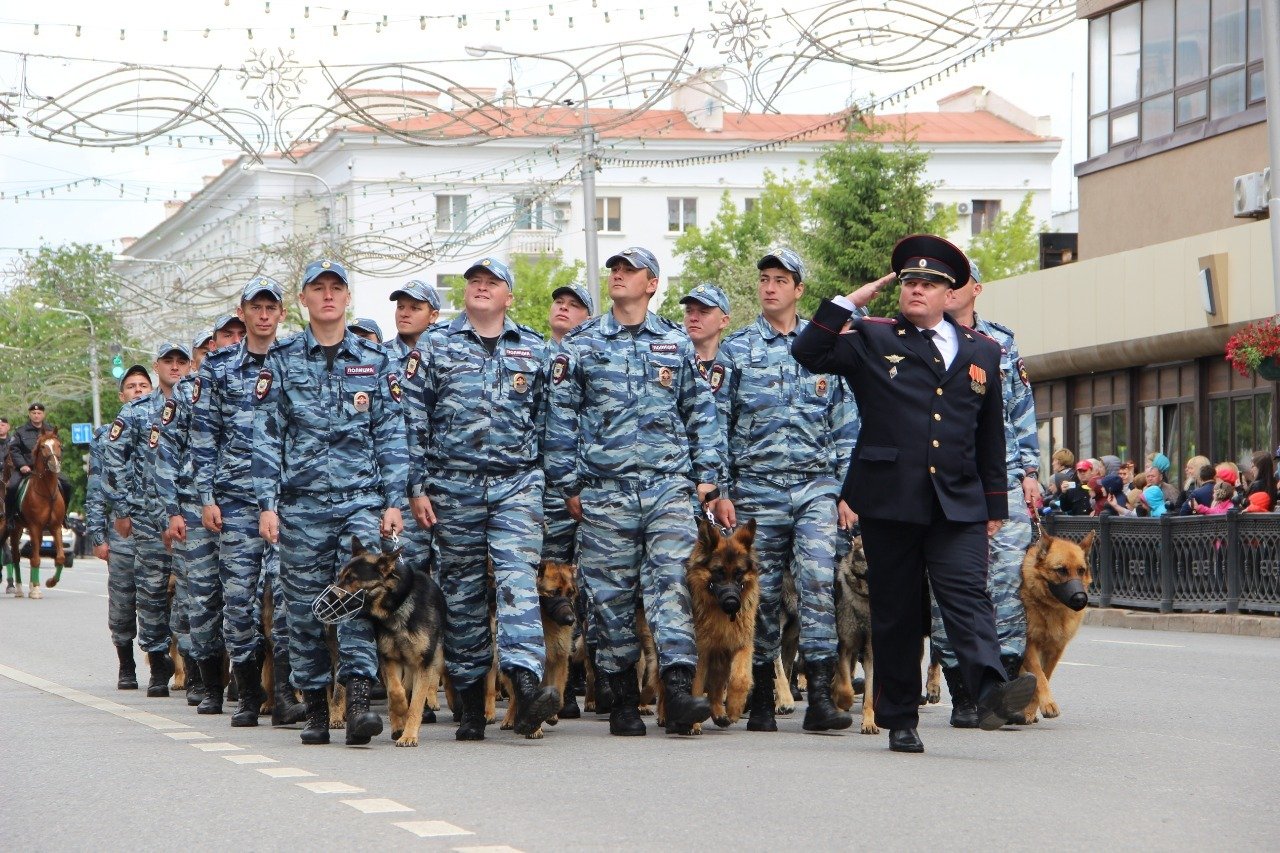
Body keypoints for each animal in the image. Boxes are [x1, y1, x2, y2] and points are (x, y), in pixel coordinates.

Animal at [7, 427, 66, 594]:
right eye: (43, 446)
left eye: (59, 445)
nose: (55, 465)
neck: (47, 492)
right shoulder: (34, 526)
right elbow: (36, 559)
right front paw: (36, 591)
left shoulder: (55, 527)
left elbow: (60, 557)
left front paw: (50, 582)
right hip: (15, 529)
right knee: (16, 555)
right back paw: (19, 587)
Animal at [322, 537, 448, 742]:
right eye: (339, 576)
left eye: (351, 579)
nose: (325, 602)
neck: (397, 608)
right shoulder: (389, 659)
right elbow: (395, 692)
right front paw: (400, 713)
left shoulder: (423, 664)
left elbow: (415, 703)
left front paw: (409, 736)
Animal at [499, 558, 581, 737]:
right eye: (554, 592)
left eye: (570, 593)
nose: (571, 620)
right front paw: (535, 727)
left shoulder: (559, 660)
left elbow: (557, 687)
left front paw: (551, 713)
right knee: (514, 696)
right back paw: (512, 717)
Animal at [829, 532, 880, 732]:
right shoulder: (845, 646)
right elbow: (845, 688)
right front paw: (843, 702)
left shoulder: (870, 653)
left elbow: (870, 694)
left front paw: (869, 722)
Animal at [1013, 527, 1095, 722]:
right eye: (1061, 570)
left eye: (1081, 570)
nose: (1080, 599)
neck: (1051, 607)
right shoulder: (1029, 645)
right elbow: (1039, 676)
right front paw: (1047, 704)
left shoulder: (1055, 649)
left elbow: (1044, 675)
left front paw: (1031, 709)